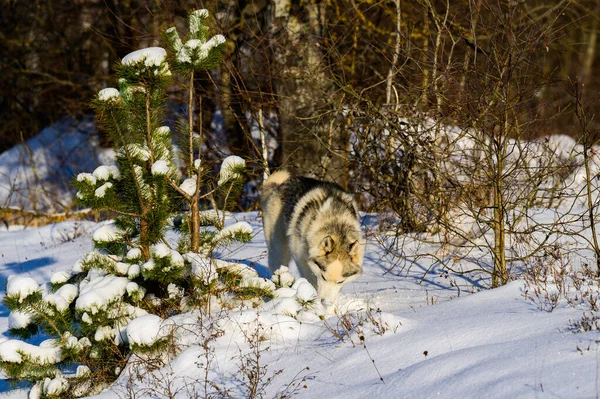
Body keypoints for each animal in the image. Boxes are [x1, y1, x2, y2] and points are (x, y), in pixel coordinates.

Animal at [260, 170, 364, 312]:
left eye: (340, 282)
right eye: (323, 277)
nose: (325, 302)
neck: (336, 223)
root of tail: (280, 185)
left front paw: (331, 313)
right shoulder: (301, 259)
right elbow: (311, 281)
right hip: (278, 251)